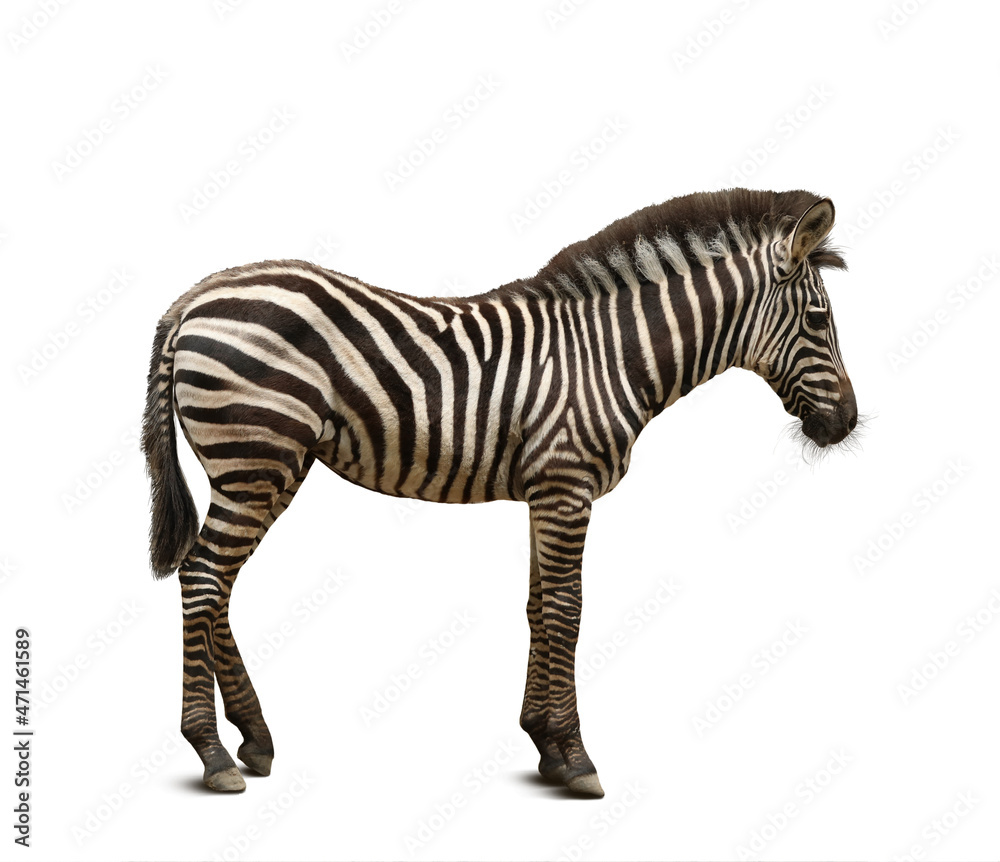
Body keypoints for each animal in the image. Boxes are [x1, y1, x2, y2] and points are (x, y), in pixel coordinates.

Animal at [142, 188, 857, 796]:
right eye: (820, 318)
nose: (847, 423)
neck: (609, 354)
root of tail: (197, 294)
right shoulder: (568, 485)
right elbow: (568, 612)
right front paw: (577, 756)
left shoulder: (547, 490)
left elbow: (539, 608)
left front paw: (544, 745)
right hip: (254, 456)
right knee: (202, 578)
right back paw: (212, 752)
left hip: (269, 467)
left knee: (216, 584)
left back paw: (255, 741)